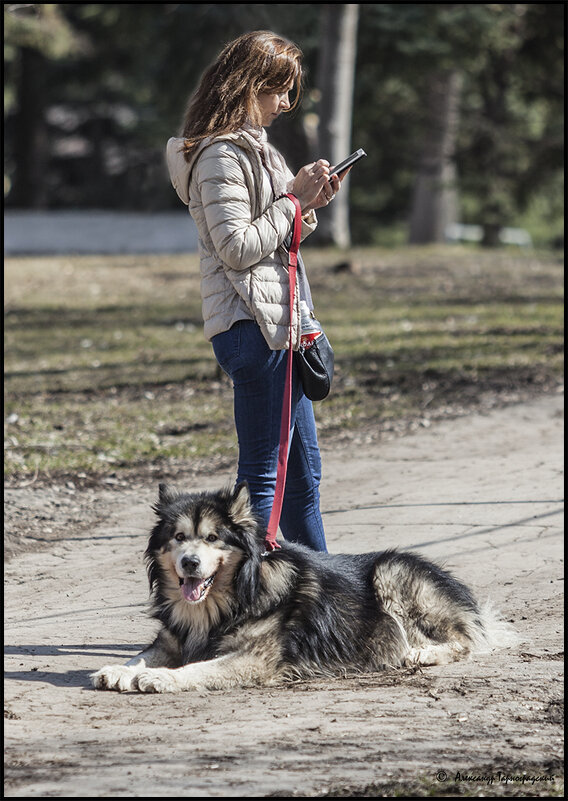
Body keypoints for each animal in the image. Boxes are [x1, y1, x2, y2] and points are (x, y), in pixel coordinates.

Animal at [91, 482, 512, 692]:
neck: (231, 597)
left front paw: (163, 678)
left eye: (212, 538)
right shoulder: (171, 640)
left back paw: (421, 653)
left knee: (463, 640)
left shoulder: (256, 660)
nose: (189, 563)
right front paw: (118, 669)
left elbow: (200, 668)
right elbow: (143, 655)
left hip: (392, 573)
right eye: (179, 538)